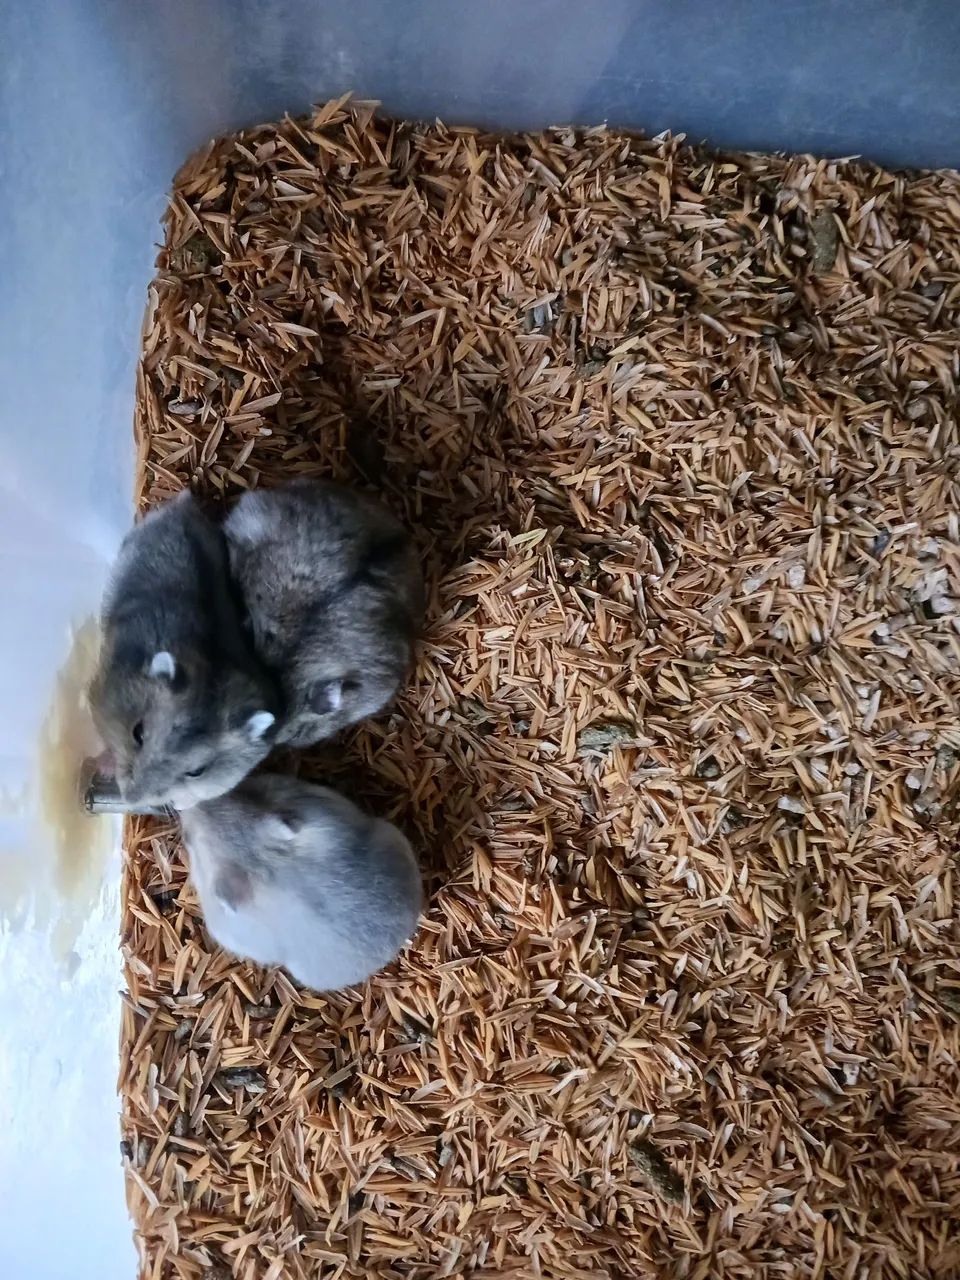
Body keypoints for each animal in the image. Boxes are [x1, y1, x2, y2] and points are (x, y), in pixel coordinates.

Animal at [88, 490, 280, 810]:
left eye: (197, 772)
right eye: (137, 733)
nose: (130, 798)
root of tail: (185, 504)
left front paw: (179, 804)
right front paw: (103, 764)